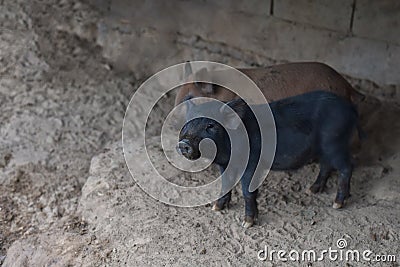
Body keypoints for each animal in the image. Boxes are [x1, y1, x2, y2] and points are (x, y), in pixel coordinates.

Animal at [178, 91, 360, 228]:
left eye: (211, 126)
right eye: (188, 122)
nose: (184, 143)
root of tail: (350, 109)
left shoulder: (252, 163)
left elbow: (247, 191)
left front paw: (247, 223)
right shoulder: (225, 164)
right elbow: (225, 184)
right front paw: (216, 208)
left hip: (335, 143)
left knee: (347, 167)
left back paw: (337, 204)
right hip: (325, 148)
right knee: (326, 165)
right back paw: (312, 190)